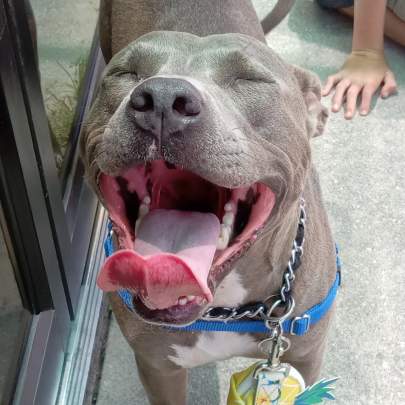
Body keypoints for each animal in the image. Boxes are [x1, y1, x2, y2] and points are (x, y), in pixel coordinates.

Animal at [79, 1, 334, 402]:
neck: (222, 311)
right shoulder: (158, 368)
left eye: (250, 79)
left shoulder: (306, 357)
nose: (162, 97)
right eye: (126, 73)